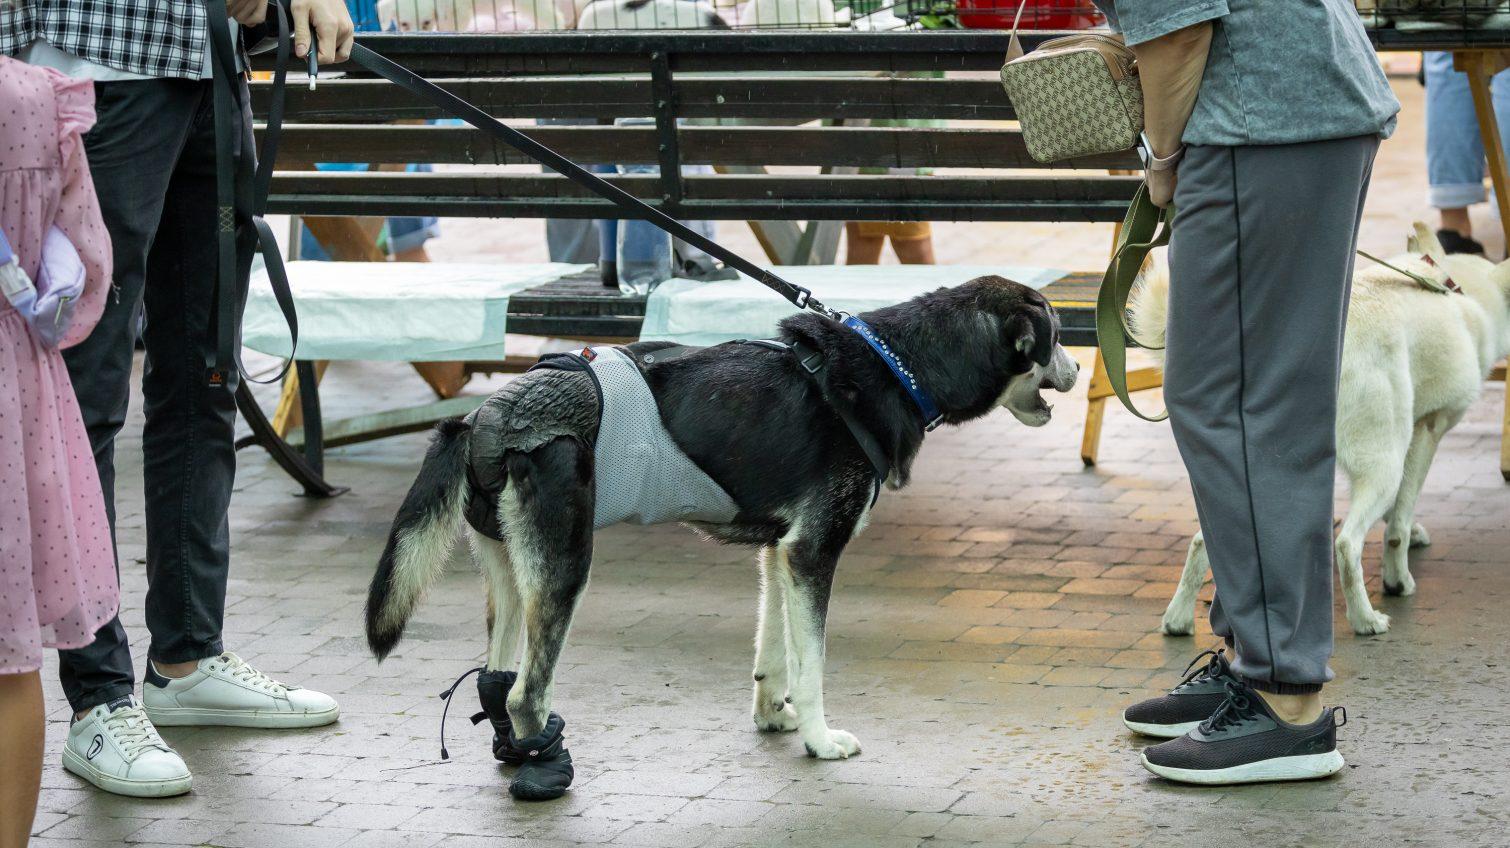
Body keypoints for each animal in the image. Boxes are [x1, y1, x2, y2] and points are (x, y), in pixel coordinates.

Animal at [363, 274, 1075, 796]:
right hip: (565, 570)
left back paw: (516, 755)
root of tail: (485, 417)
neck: (899, 368)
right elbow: (812, 665)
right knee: (527, 691)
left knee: (498, 678)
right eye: (1055, 335)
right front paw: (820, 740)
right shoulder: (814, 553)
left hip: (512, 575)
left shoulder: (781, 554)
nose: (1073, 369)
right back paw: (546, 770)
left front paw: (773, 717)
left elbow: (774, 652)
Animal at [1135, 224, 1510, 633]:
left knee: (1206, 540)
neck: (1458, 293)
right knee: (1347, 545)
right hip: (1384, 463)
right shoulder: (1425, 432)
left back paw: (1178, 619)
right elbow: (1398, 521)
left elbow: (1397, 512)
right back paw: (1365, 619)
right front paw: (1399, 577)